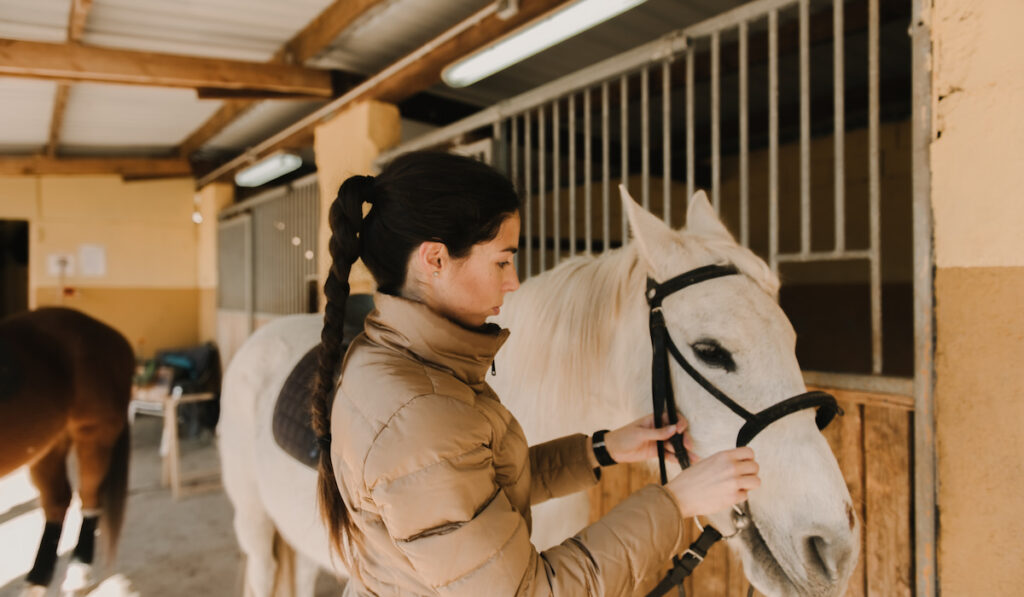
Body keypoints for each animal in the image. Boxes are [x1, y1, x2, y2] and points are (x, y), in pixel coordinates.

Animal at [0, 311, 134, 593]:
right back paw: (38, 580)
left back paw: (79, 569)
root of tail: (114, 336)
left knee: (89, 497)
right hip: (47, 444)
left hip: (94, 436)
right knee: (58, 501)